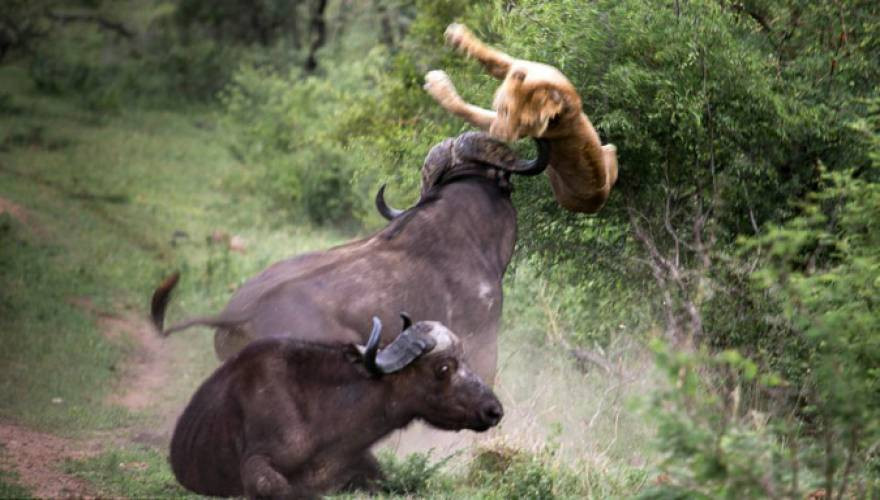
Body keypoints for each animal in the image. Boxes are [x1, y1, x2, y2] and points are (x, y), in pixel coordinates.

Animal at [424, 23, 620, 213]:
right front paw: (457, 36)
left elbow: (468, 110)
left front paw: (437, 84)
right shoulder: (520, 65)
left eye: (526, 124)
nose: (498, 134)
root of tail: (599, 200)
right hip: (609, 149)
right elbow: (490, 57)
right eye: (504, 110)